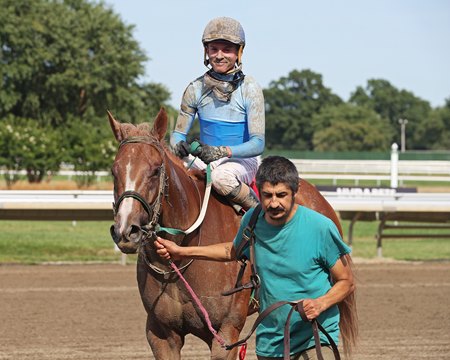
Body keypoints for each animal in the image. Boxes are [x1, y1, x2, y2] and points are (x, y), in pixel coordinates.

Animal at [107, 108, 356, 358]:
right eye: (113, 171)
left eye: (156, 169)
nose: (126, 231)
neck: (179, 262)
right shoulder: (161, 335)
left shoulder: (225, 334)